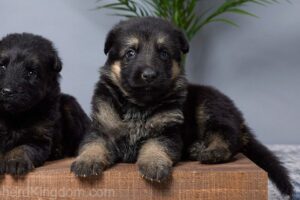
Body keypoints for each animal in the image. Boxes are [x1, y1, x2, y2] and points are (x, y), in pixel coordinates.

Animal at [0, 33, 90, 176]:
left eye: (31, 72)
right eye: (2, 66)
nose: (7, 92)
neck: (16, 116)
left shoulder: (39, 138)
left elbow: (22, 147)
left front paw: (15, 160)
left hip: (70, 105)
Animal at [71, 17, 292, 198]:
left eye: (164, 53)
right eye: (130, 53)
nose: (149, 75)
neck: (139, 104)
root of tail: (239, 118)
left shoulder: (167, 131)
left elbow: (156, 145)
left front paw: (154, 163)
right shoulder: (101, 127)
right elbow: (93, 144)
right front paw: (86, 161)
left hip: (209, 107)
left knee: (228, 137)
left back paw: (211, 152)